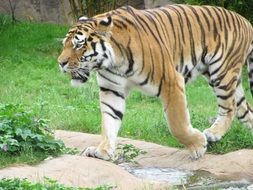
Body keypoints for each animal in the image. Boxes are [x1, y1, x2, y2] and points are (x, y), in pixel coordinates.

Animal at [57, 3, 253, 160]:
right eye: (64, 44)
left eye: (79, 45)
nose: (60, 63)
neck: (113, 62)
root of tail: (245, 21)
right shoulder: (111, 89)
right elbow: (109, 121)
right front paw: (103, 151)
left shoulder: (171, 82)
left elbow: (177, 124)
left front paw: (198, 145)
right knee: (244, 109)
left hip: (221, 73)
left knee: (230, 107)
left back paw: (212, 133)